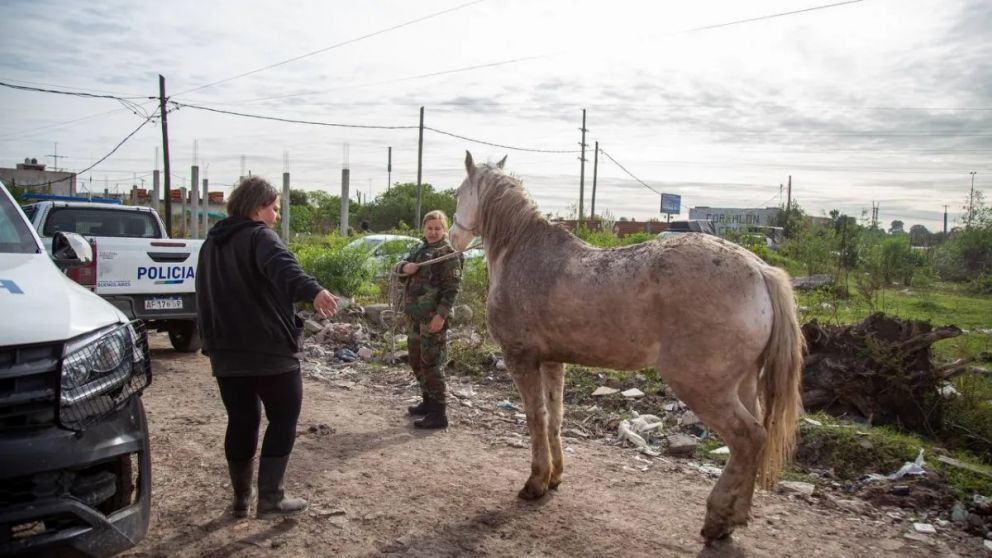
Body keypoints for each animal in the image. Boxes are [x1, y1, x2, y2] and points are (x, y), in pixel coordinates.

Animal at [448, 151, 804, 543]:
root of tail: (759, 270)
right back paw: (736, 516)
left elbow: (535, 418)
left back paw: (717, 519)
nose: (452, 237)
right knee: (756, 439)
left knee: (748, 438)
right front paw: (555, 476)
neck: (522, 251)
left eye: (458, 193)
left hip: (703, 387)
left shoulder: (521, 359)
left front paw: (536, 482)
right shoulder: (553, 362)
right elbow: (556, 417)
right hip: (743, 384)